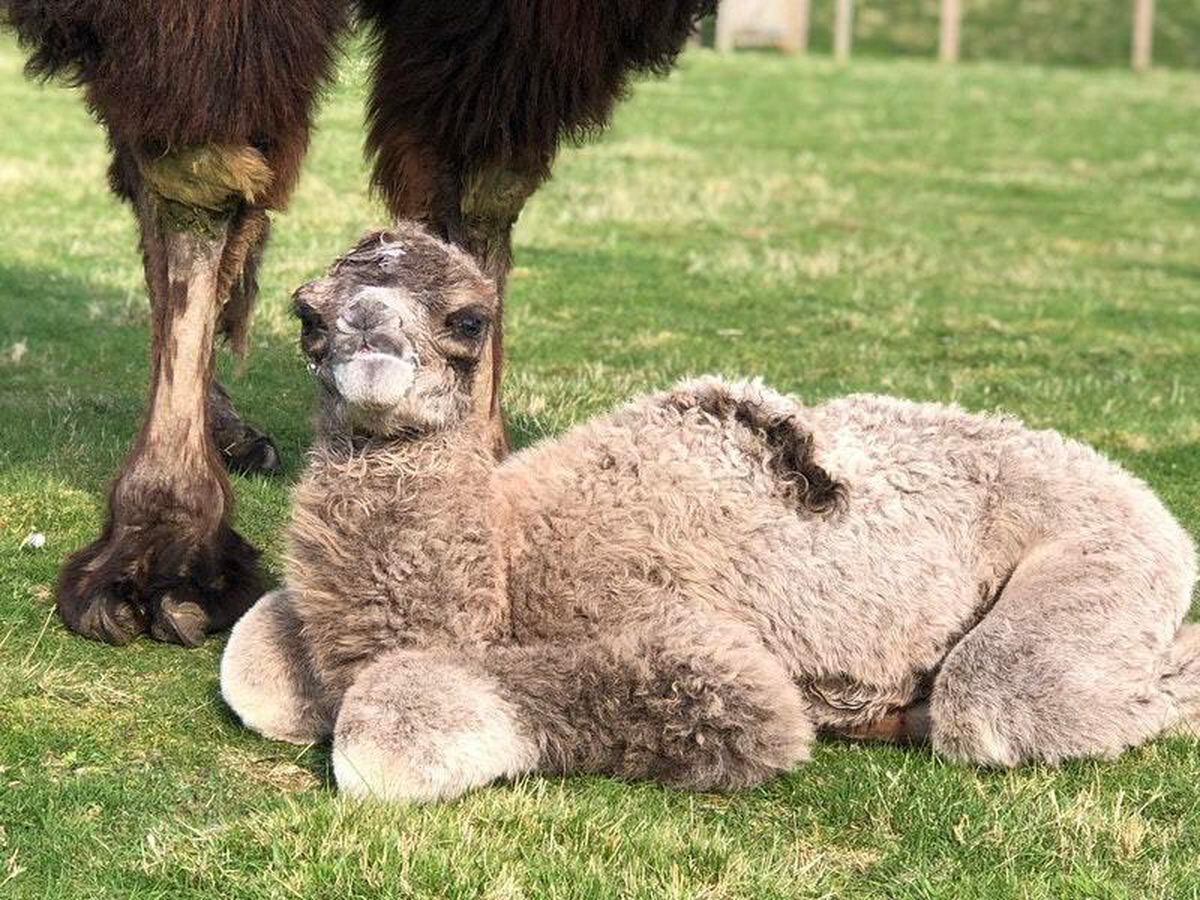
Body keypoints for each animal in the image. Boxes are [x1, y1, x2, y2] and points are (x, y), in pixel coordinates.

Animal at [220, 225, 1195, 801]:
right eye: (307, 315)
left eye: (469, 320)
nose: (370, 347)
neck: (504, 565)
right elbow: (251, 663)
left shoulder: (698, 655)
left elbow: (385, 731)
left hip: (1110, 537)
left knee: (1001, 697)